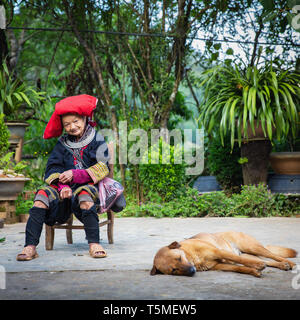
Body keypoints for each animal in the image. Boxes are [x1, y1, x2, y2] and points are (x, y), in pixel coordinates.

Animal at [151, 230, 296, 278]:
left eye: (179, 258)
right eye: (173, 270)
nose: (192, 271)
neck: (193, 257)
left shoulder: (219, 252)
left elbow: (241, 263)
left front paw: (257, 267)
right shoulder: (219, 266)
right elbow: (239, 268)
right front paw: (254, 271)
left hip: (252, 247)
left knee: (272, 255)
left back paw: (291, 263)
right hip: (247, 253)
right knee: (268, 261)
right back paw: (283, 265)